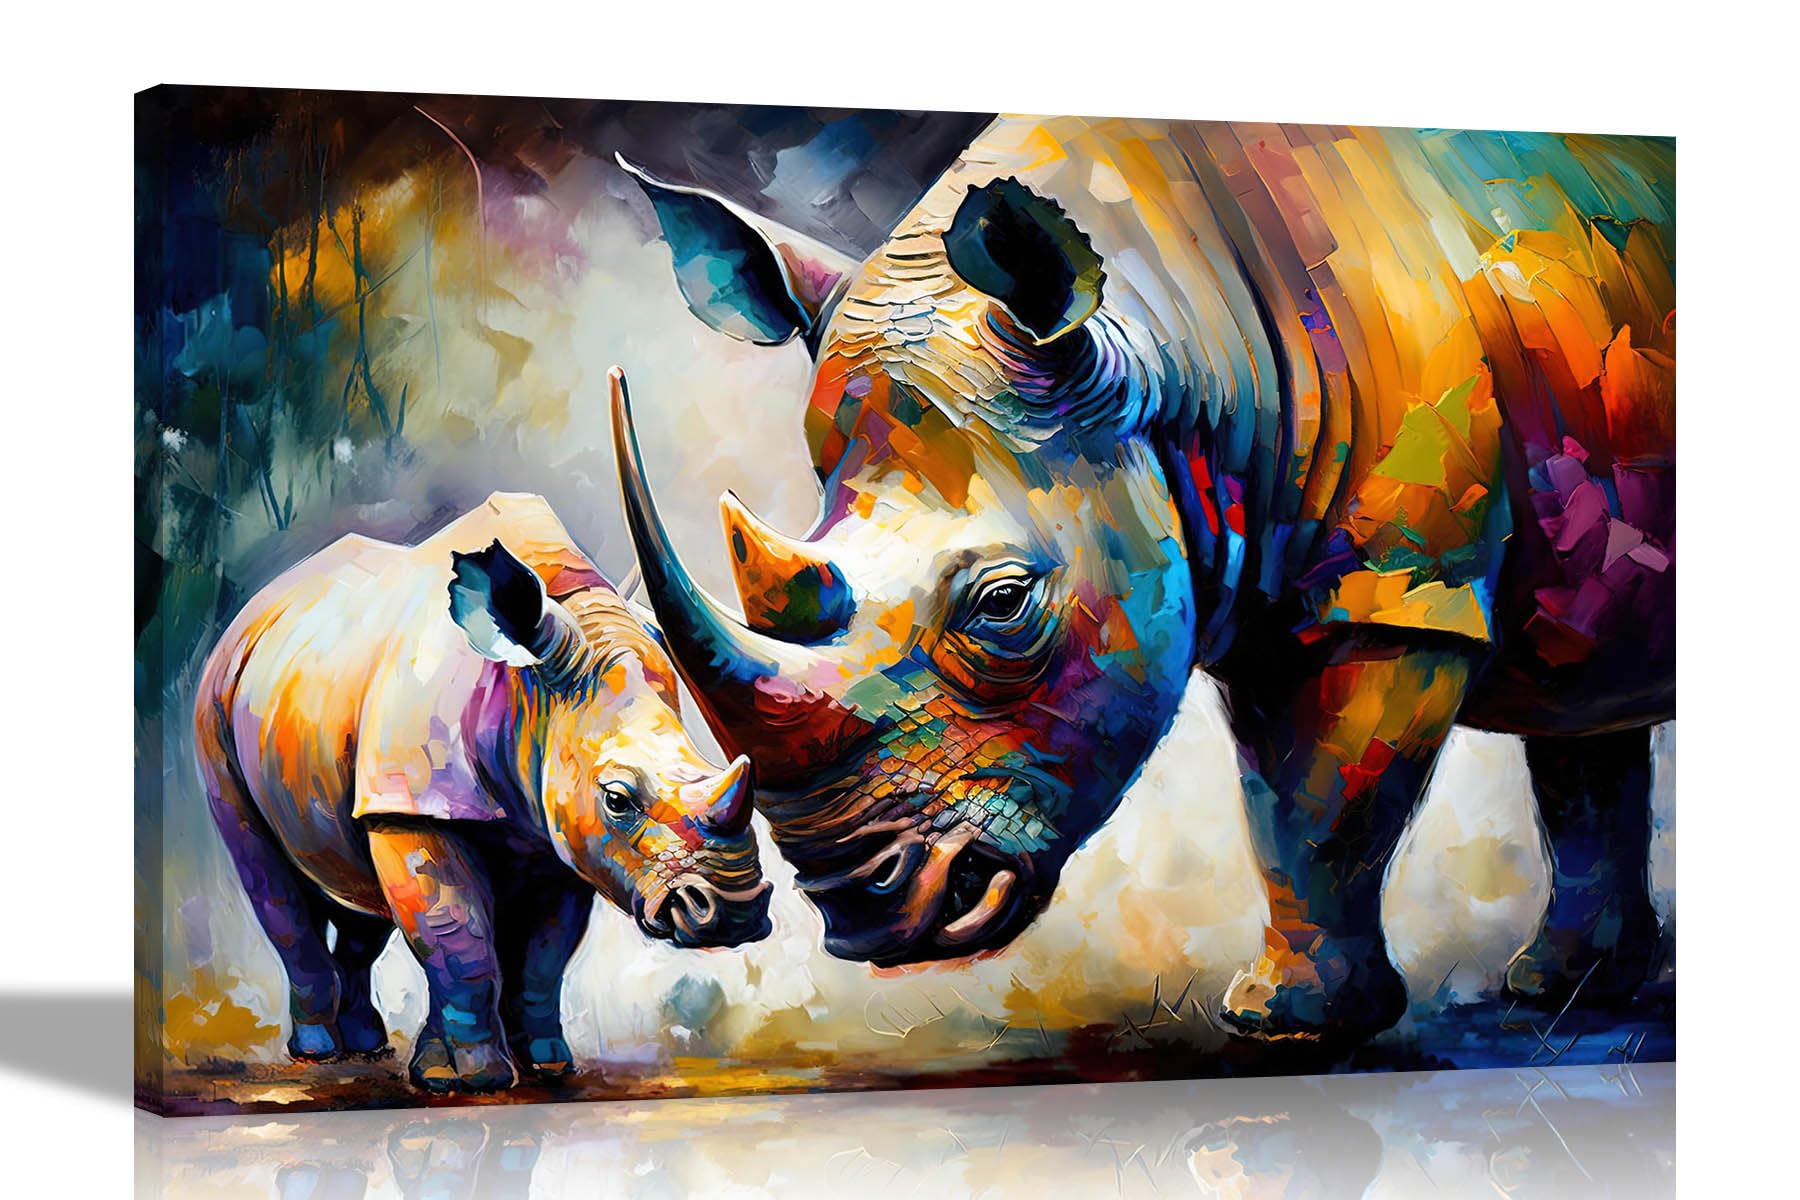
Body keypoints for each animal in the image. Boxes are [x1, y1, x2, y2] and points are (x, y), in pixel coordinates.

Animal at [194, 492, 771, 1092]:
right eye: (617, 799)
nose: (736, 912)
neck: (532, 692)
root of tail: (257, 607)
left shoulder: (558, 832)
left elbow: (541, 954)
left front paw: (541, 1065)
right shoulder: (412, 806)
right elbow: (459, 937)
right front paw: (475, 1079)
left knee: (352, 887)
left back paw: (368, 1046)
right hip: (216, 696)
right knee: (268, 875)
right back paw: (319, 1053)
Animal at [613, 116, 1674, 1043]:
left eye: (1004, 604)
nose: (858, 913)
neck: (1164, 336)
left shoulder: (1396, 589)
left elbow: (1322, 808)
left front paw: (1284, 1027)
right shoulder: (1269, 591)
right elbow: (1282, 800)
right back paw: (1568, 988)